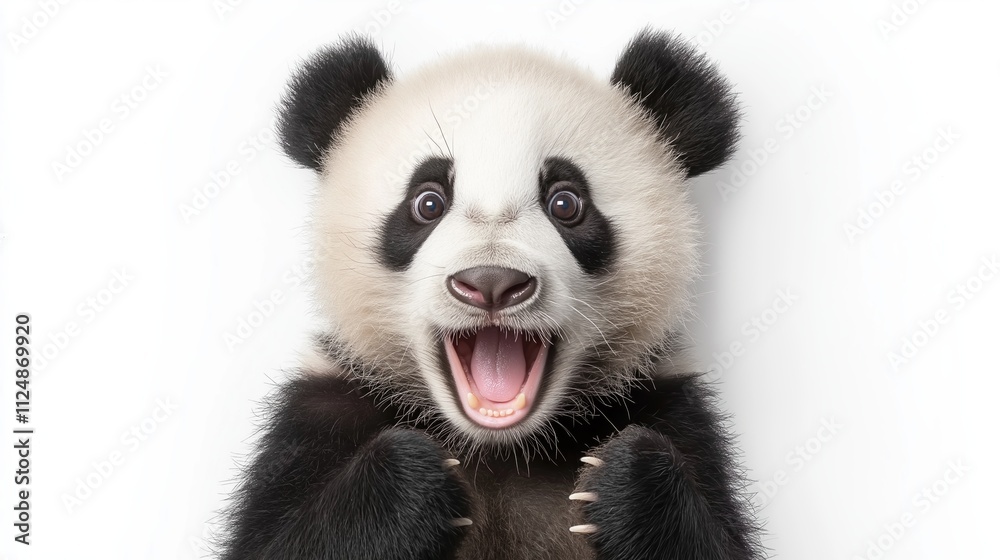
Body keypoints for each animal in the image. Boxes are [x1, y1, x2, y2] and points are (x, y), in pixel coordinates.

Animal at [220, 29, 763, 560]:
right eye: (427, 202)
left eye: (566, 203)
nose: (491, 282)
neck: (499, 449)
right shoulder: (320, 414)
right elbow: (277, 543)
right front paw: (412, 483)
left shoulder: (676, 412)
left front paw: (625, 480)